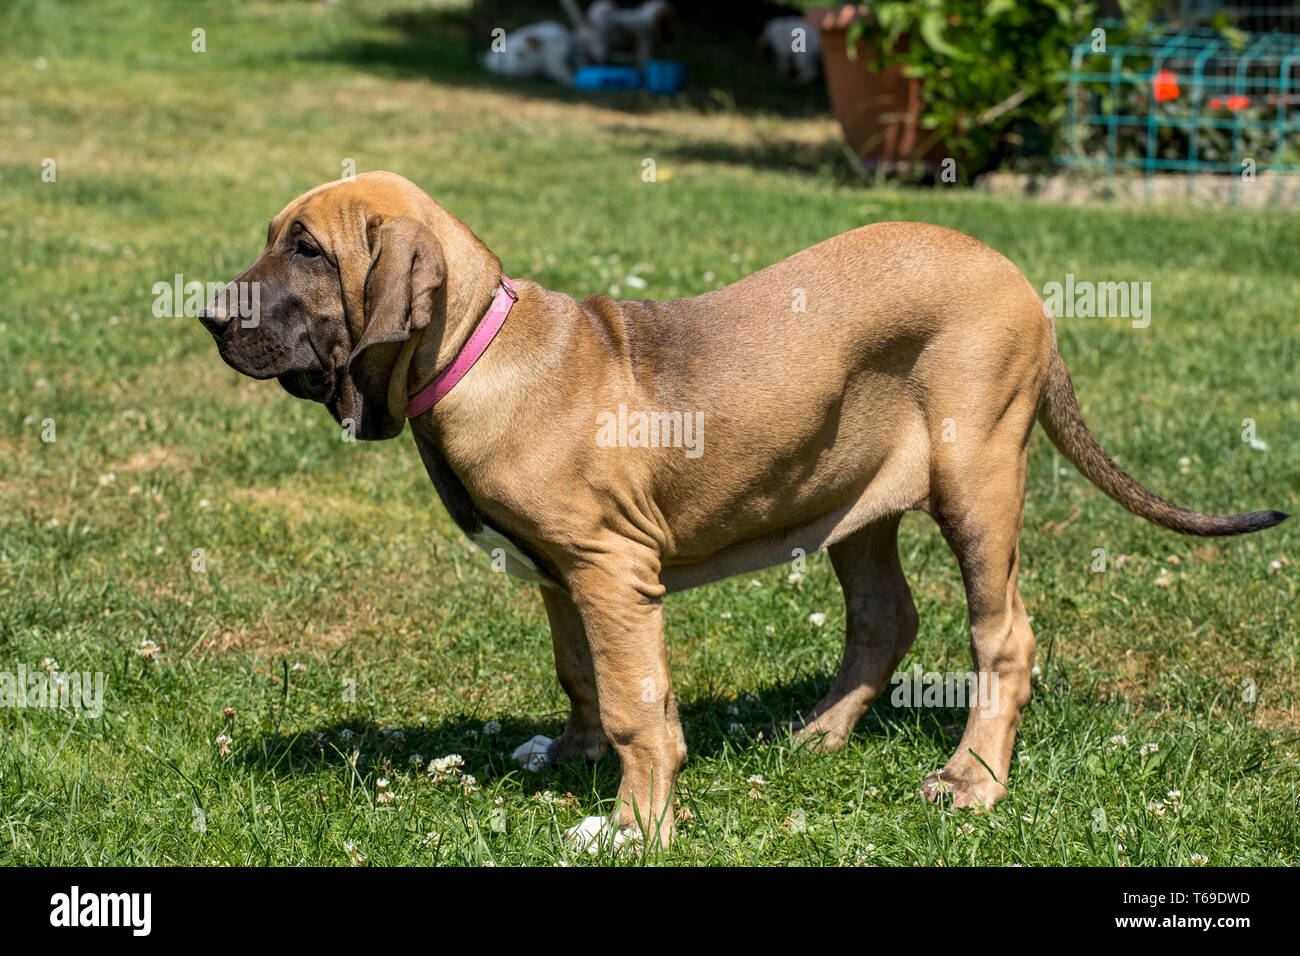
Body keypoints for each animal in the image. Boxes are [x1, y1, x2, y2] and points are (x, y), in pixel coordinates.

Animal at [197, 175, 1284, 848]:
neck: (477, 350)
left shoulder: (611, 569)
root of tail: (1019, 279)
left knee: (1001, 635)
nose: (206, 315)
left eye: (306, 250)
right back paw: (816, 736)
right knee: (884, 619)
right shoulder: (562, 574)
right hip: (855, 499)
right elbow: (580, 671)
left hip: (977, 474)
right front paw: (575, 755)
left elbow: (638, 703)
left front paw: (634, 823)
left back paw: (973, 778)